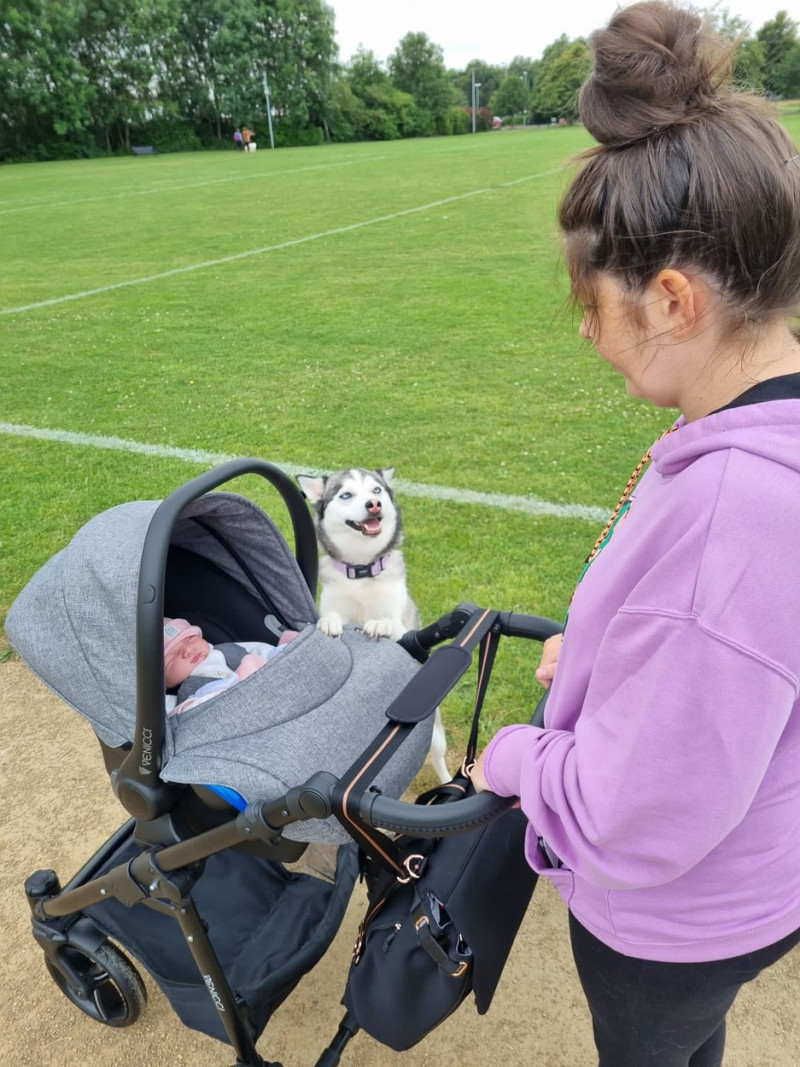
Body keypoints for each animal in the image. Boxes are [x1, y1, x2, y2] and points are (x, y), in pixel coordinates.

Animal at [298, 467, 452, 785]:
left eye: (376, 490)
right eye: (346, 495)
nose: (373, 505)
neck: (362, 572)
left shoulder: (405, 627)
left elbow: (392, 624)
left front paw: (379, 625)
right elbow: (330, 616)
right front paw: (328, 623)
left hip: (434, 734)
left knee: (438, 758)